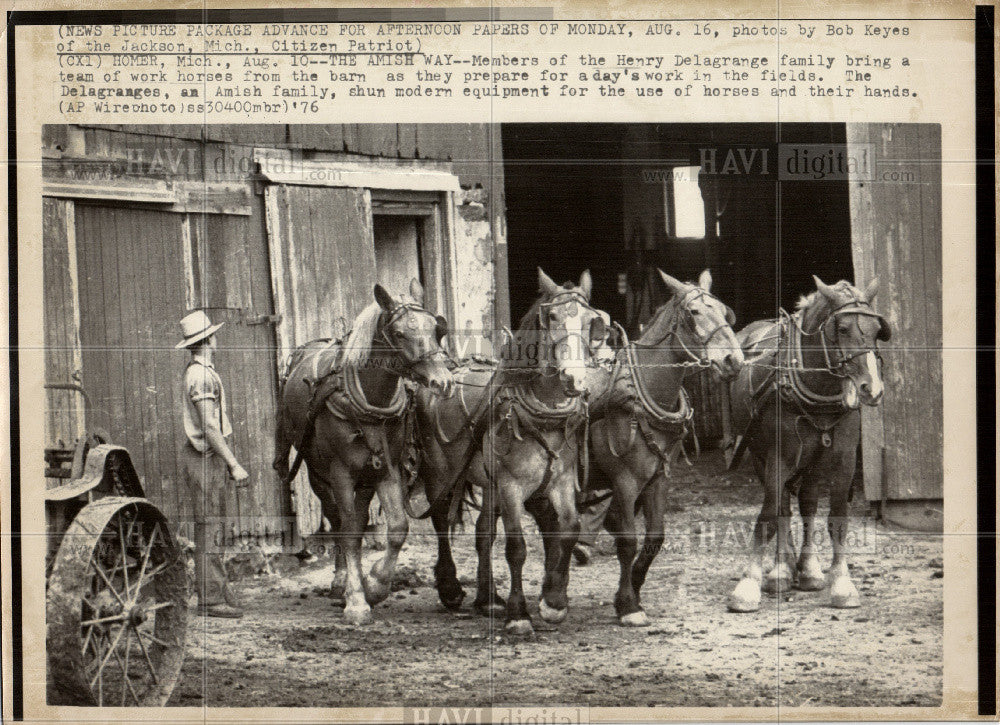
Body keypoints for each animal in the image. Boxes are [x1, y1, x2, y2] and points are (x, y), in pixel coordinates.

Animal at [278, 280, 458, 624]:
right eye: (399, 333)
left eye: (435, 328)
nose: (442, 381)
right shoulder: (340, 473)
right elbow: (348, 531)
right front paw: (357, 600)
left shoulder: (387, 468)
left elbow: (398, 527)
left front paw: (374, 585)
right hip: (318, 472)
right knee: (337, 518)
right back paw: (340, 580)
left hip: (366, 477)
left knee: (359, 519)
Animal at [584, 268, 744, 624]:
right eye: (693, 313)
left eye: (723, 311)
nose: (733, 360)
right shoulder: (625, 481)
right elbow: (628, 541)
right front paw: (628, 605)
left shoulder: (657, 478)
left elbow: (655, 537)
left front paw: (634, 590)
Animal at [728, 276, 892, 612]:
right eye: (842, 329)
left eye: (875, 330)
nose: (872, 389)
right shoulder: (778, 458)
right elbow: (769, 516)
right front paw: (748, 584)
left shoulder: (843, 458)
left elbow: (836, 519)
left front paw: (841, 583)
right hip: (760, 456)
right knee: (782, 507)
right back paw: (782, 569)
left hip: (814, 459)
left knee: (807, 504)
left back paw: (808, 569)